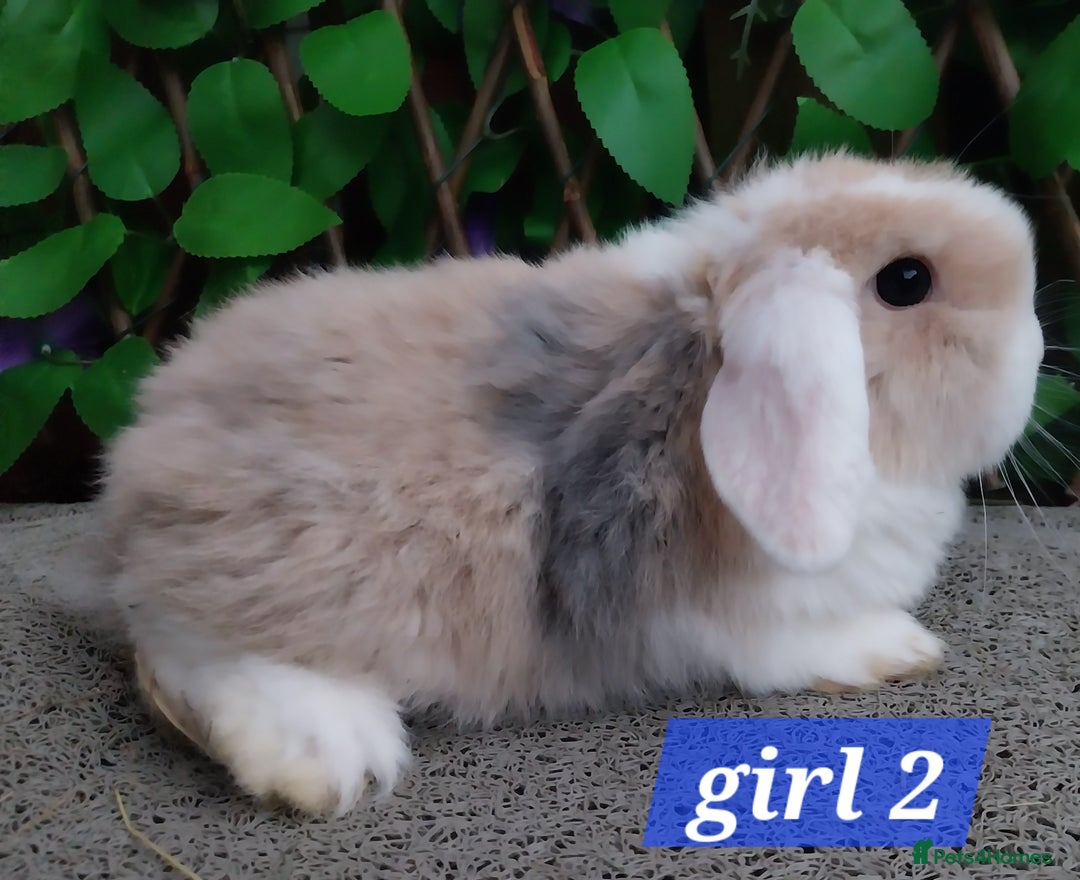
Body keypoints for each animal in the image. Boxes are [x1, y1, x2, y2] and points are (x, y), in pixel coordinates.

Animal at [87, 152, 1042, 816]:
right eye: (907, 281)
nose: (1036, 346)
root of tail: (137, 469)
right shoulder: (729, 615)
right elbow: (798, 646)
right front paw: (899, 648)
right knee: (200, 656)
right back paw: (326, 753)